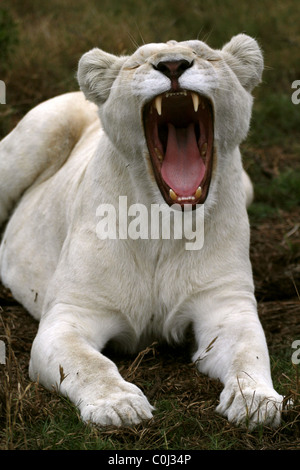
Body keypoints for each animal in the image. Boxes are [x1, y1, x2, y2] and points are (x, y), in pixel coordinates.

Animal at [0, 35, 284, 428]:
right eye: (137, 62)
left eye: (204, 55)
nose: (173, 65)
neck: (162, 223)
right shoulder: (71, 314)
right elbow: (89, 364)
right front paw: (119, 406)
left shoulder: (226, 305)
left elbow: (249, 353)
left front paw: (256, 401)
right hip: (36, 133)